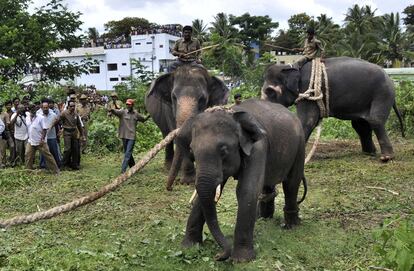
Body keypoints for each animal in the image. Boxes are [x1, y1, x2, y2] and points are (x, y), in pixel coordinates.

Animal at [169, 100, 308, 264]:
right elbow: (209, 192)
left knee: (292, 182)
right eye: (192, 151)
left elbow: (247, 190)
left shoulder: (258, 148)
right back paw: (264, 217)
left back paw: (292, 225)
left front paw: (241, 260)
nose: (218, 256)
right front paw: (189, 246)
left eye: (223, 150)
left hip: (300, 144)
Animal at [262, 55, 404, 162]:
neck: (294, 66)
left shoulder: (308, 90)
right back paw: (369, 153)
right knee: (360, 125)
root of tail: (390, 78)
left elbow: (307, 120)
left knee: (375, 120)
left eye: (269, 91)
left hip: (382, 93)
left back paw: (386, 158)